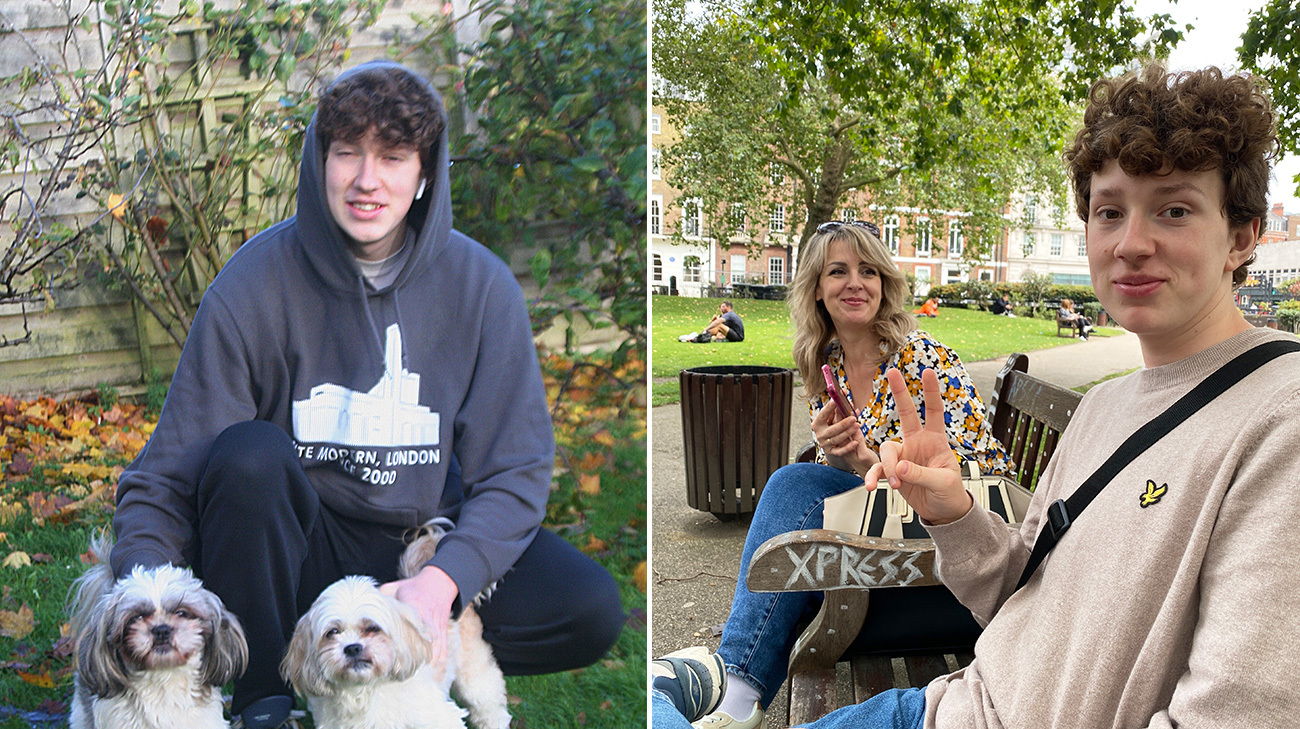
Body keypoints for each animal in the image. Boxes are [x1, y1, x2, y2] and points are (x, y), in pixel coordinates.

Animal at [284, 517, 512, 727]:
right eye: (332, 633)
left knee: (491, 707)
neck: (363, 692)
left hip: (474, 676)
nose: (352, 648)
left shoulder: (440, 718)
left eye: (373, 628)